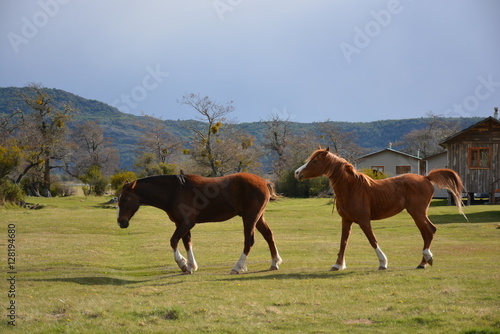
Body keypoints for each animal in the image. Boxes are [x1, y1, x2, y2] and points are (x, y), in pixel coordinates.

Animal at [117, 172, 282, 274]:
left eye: (124, 199)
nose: (121, 222)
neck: (175, 191)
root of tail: (263, 181)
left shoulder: (186, 223)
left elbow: (173, 241)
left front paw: (183, 264)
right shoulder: (182, 224)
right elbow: (187, 243)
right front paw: (191, 266)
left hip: (249, 218)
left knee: (249, 242)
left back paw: (237, 267)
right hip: (258, 218)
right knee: (269, 236)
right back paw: (274, 263)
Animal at [294, 147, 466, 270]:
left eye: (315, 161)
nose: (297, 173)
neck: (352, 188)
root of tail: (426, 177)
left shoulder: (364, 221)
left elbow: (372, 240)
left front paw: (383, 263)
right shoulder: (346, 220)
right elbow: (343, 242)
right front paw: (337, 264)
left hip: (417, 213)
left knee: (430, 230)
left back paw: (427, 258)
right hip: (417, 214)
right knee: (426, 233)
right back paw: (423, 263)